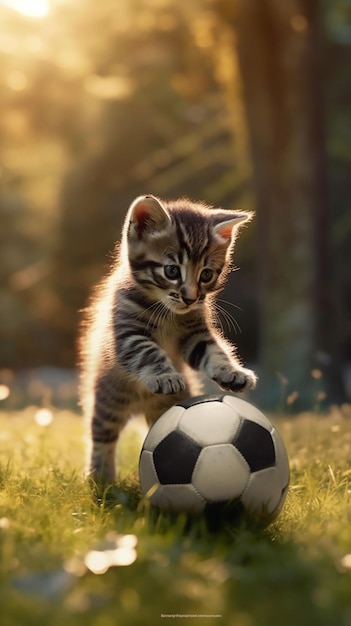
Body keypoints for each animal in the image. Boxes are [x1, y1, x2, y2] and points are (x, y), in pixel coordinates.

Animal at [80, 194, 258, 478]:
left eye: (206, 274)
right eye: (172, 271)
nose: (190, 298)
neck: (168, 313)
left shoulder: (195, 334)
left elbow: (215, 352)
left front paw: (231, 372)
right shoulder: (127, 332)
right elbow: (147, 351)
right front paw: (164, 375)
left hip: (166, 407)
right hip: (109, 399)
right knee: (102, 436)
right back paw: (101, 475)